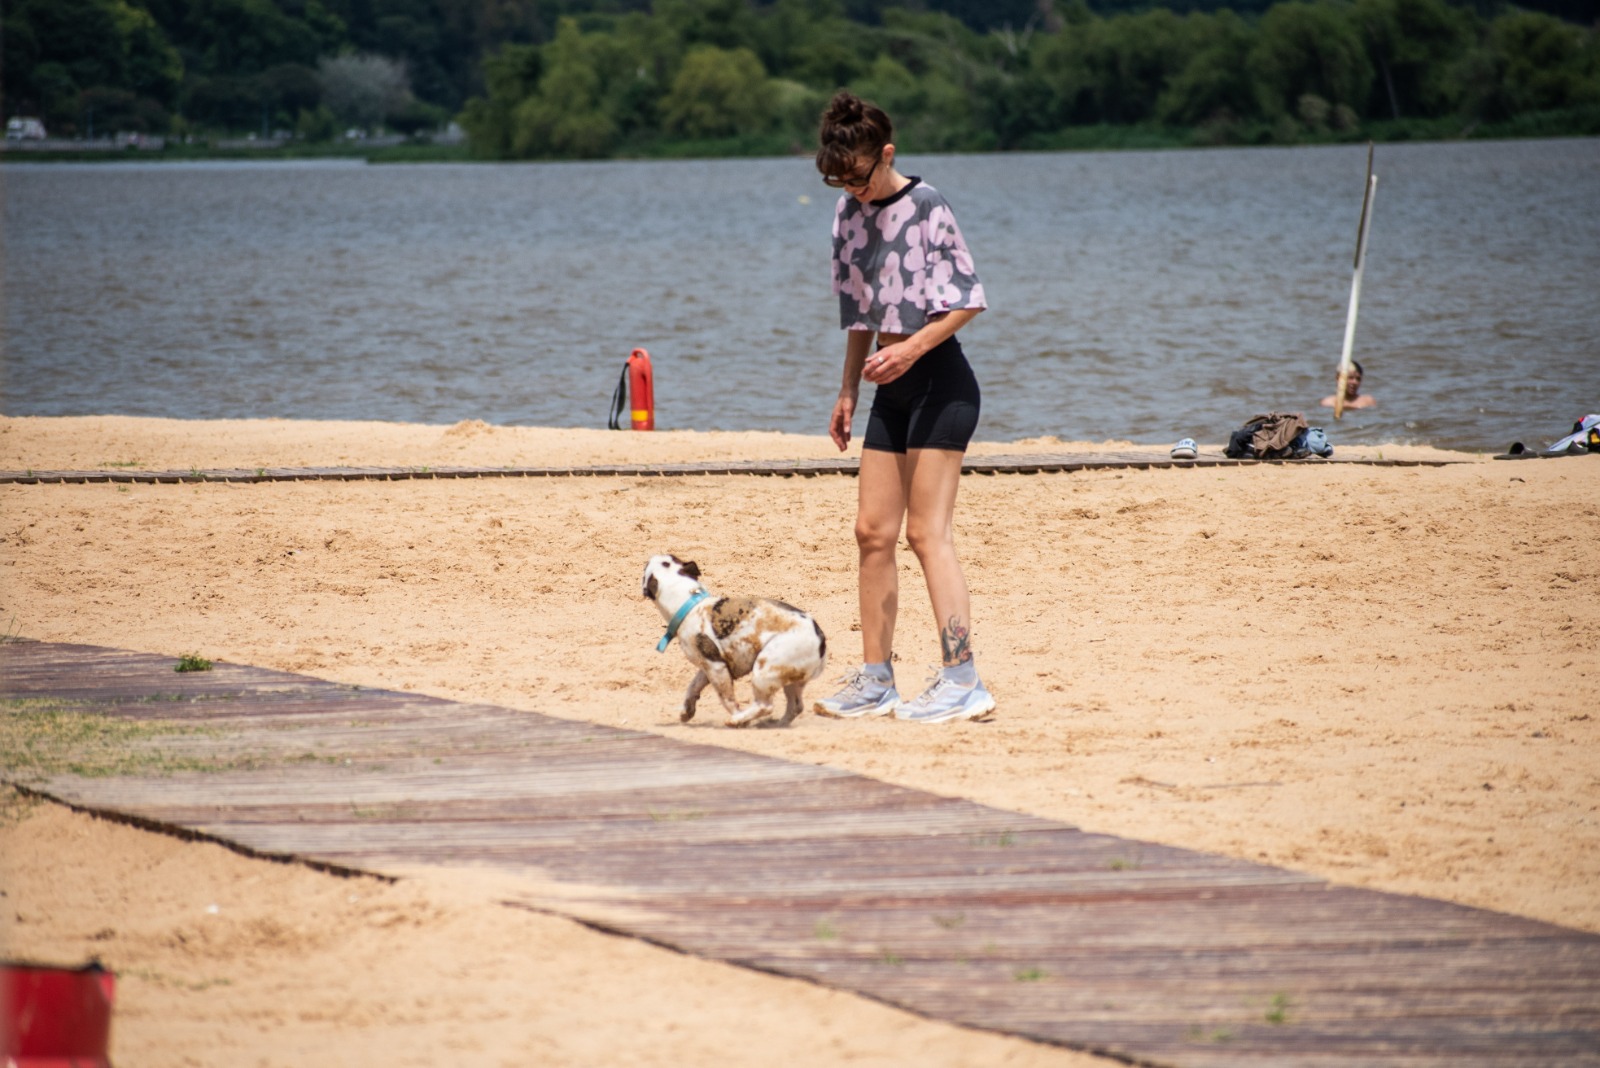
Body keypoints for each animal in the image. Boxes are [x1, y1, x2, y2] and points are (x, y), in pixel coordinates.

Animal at [641, 554, 827, 728]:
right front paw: (687, 711)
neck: (691, 605)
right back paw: (775, 725)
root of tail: (820, 638)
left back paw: (738, 720)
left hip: (764, 670)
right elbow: (693, 686)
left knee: (765, 706)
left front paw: (737, 716)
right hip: (791, 680)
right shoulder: (708, 666)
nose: (651, 556)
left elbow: (727, 698)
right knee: (795, 706)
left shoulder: (716, 668)